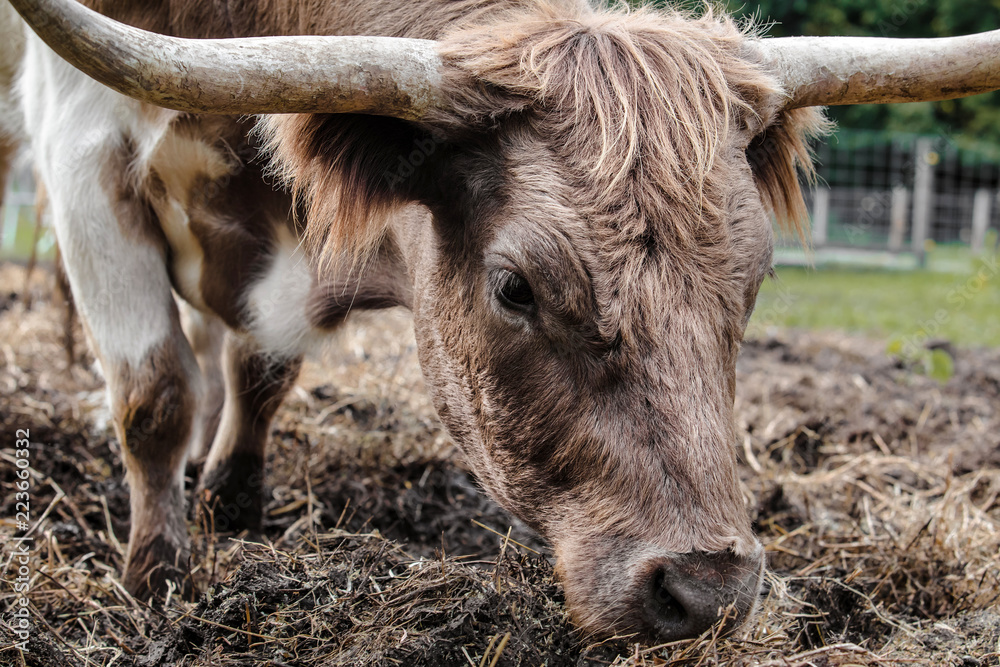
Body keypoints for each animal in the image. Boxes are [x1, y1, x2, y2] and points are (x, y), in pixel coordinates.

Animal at [8, 0, 1000, 642]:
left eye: (754, 277)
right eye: (516, 287)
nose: (707, 590)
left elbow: (262, 371)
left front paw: (234, 502)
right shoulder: (83, 154)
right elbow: (155, 397)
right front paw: (156, 583)